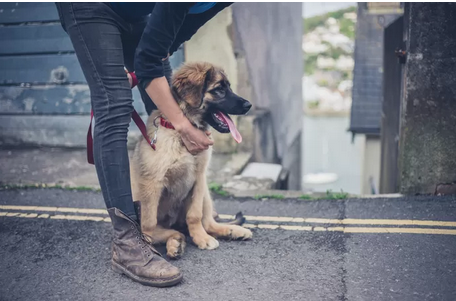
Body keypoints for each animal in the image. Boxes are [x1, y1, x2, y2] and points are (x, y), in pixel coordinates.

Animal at [131, 61, 253, 258]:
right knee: (170, 230)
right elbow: (149, 225)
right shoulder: (152, 183)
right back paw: (174, 241)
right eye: (219, 89)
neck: (179, 135)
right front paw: (154, 240)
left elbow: (194, 215)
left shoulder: (199, 177)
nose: (249, 105)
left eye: (229, 87)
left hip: (206, 195)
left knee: (208, 223)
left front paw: (200, 238)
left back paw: (232, 231)